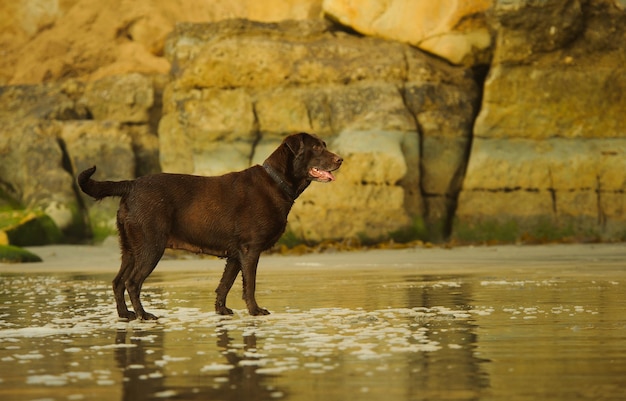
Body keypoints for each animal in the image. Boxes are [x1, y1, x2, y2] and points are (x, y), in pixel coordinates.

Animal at [78, 133, 344, 320]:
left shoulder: (235, 255)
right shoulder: (250, 250)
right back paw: (144, 315)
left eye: (324, 144)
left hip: (130, 248)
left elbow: (224, 285)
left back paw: (125, 315)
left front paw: (221, 311)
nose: (340, 159)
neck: (277, 182)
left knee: (117, 281)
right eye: (317, 148)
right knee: (132, 282)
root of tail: (131, 185)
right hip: (150, 247)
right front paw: (255, 311)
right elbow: (249, 285)